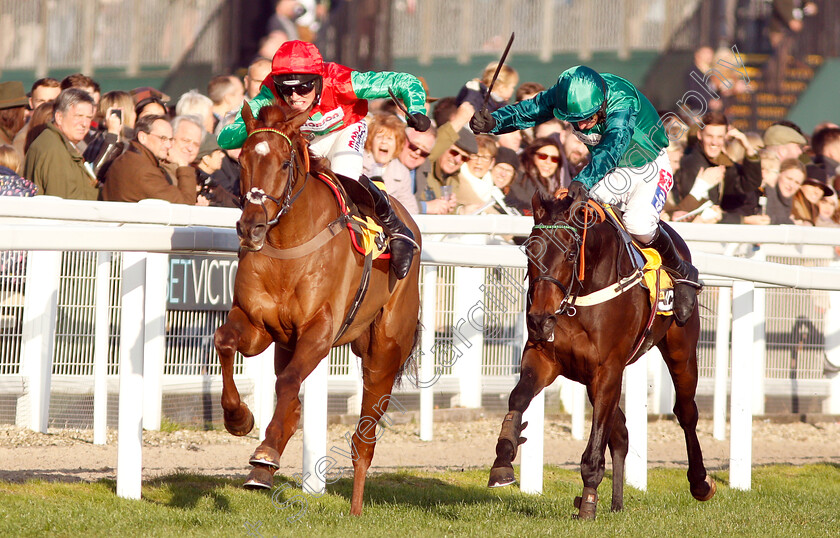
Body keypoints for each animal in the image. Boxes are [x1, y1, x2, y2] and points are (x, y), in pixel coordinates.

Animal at [210, 101, 420, 516]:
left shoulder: (321, 331)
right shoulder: (258, 325)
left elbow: (290, 383)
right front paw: (239, 419)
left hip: (384, 354)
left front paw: (265, 451)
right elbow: (225, 342)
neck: (288, 245)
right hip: (287, 343)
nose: (251, 227)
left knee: (363, 440)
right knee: (292, 408)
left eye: (284, 164)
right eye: (242, 160)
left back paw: (355, 509)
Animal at [488, 193, 720, 516]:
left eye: (570, 255)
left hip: (681, 351)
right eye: (530, 252)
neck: (579, 298)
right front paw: (503, 459)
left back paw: (699, 482)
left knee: (686, 412)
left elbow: (598, 434)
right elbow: (518, 398)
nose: (539, 320)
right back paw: (617, 503)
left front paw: (587, 502)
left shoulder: (608, 368)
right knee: (621, 432)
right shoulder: (545, 358)